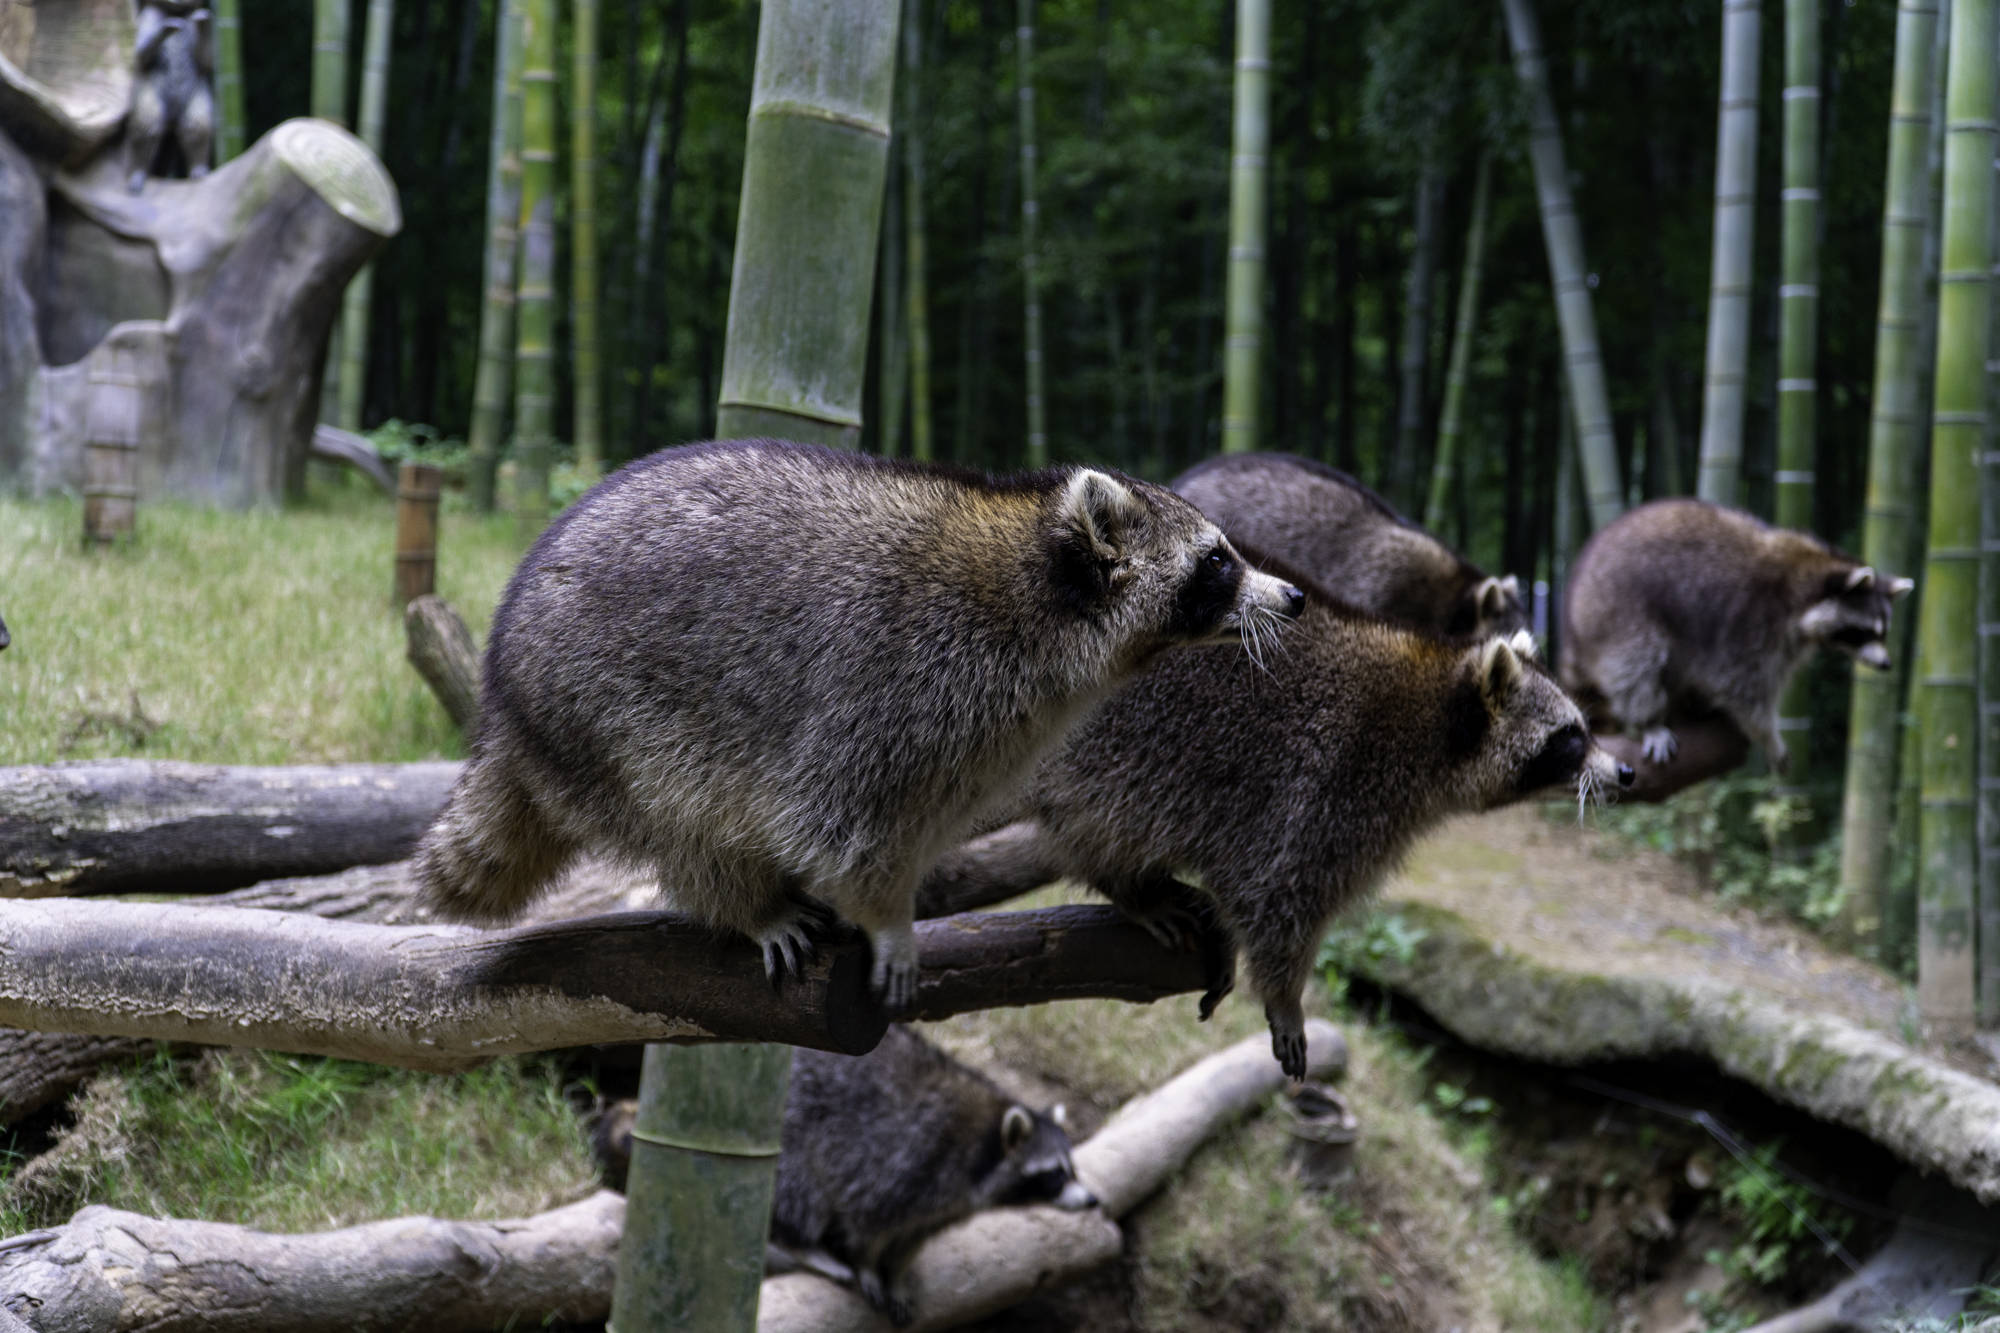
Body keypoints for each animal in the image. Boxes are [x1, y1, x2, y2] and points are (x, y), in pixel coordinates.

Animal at [414, 436, 1304, 1008]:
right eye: (1218, 561)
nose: (1294, 596)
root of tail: (503, 706)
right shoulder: (893, 683)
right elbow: (840, 824)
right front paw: (888, 920)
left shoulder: (986, 726)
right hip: (608, 720)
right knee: (689, 823)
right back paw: (748, 904)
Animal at [772, 1016, 1104, 1320]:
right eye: (1055, 1174)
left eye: (1072, 1169)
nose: (1092, 1200)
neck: (983, 1144)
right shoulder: (901, 1160)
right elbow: (868, 1223)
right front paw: (866, 1265)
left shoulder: (938, 1203)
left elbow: (910, 1241)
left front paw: (896, 1277)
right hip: (793, 1129)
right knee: (800, 1191)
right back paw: (801, 1244)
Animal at [1024, 564, 1632, 1072]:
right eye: (1570, 738)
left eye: (1585, 729)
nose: (1626, 771)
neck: (1434, 714)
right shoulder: (1324, 788)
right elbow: (1275, 895)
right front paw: (1285, 995)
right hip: (1102, 747)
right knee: (1100, 817)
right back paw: (1129, 885)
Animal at [1552, 496, 1912, 768]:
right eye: (1863, 632)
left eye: (1883, 632)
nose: (1886, 665)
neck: (1806, 577)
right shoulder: (1749, 622)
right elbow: (1743, 688)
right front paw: (1768, 735)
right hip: (1616, 609)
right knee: (1636, 663)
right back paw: (1649, 719)